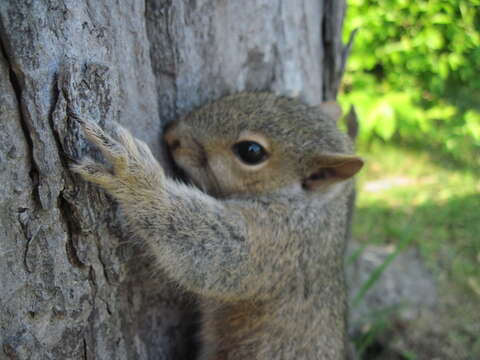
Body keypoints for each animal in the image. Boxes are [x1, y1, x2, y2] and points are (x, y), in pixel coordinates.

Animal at [70, 93, 364, 360]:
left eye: (251, 152)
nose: (172, 135)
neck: (320, 205)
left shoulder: (280, 242)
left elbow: (217, 254)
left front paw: (137, 180)